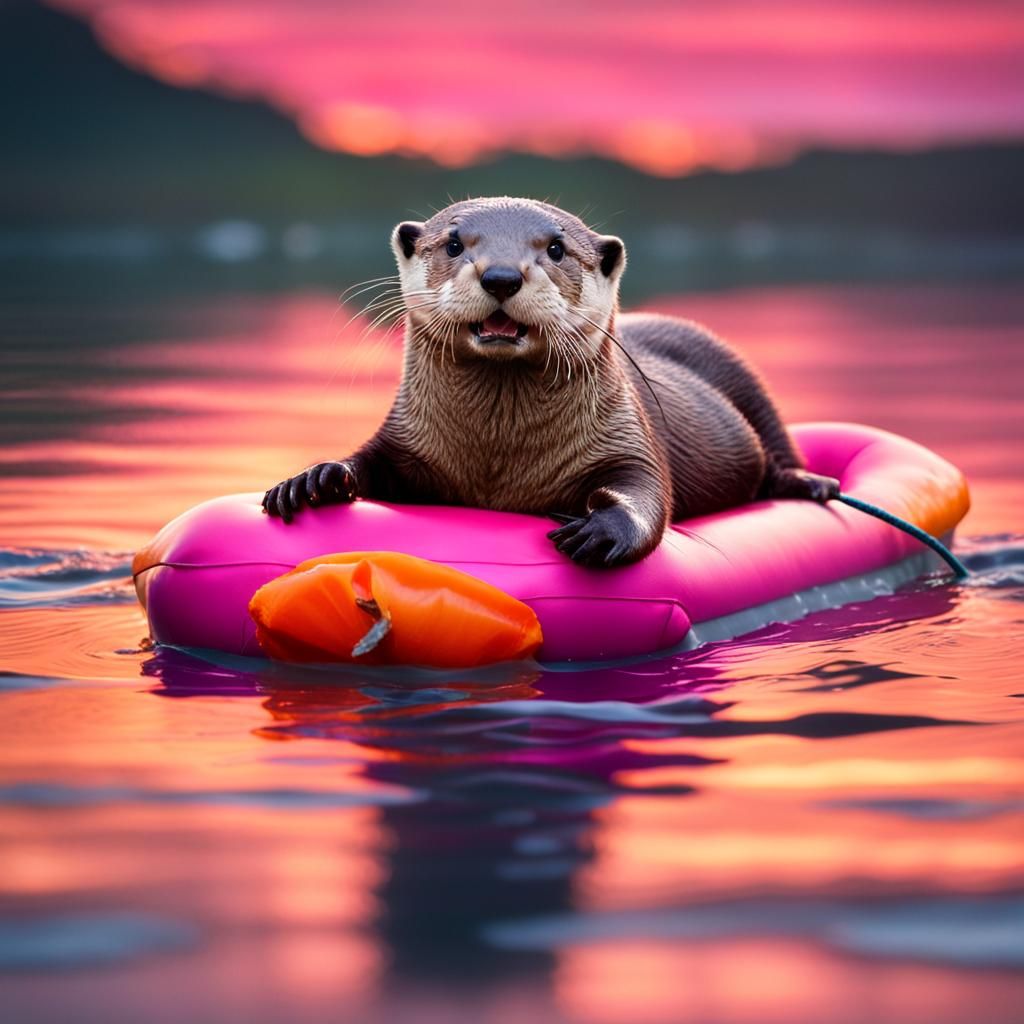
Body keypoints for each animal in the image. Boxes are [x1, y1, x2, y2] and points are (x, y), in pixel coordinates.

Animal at [263, 197, 838, 568]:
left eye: (556, 249)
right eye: (454, 243)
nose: (500, 275)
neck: (499, 465)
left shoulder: (629, 436)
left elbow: (647, 490)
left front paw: (601, 530)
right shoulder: (406, 438)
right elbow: (366, 461)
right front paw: (315, 479)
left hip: (740, 375)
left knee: (778, 448)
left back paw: (810, 483)